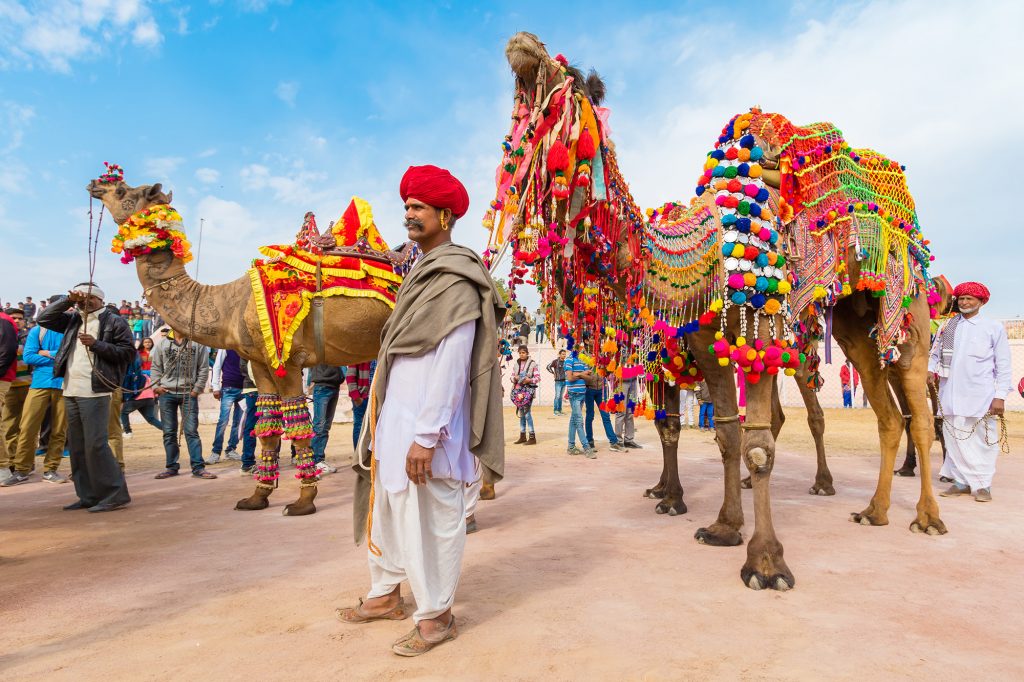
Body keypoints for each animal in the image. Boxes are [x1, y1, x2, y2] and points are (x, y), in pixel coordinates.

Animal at [87, 169, 407, 516]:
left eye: (123, 191)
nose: (96, 184)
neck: (229, 303)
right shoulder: (260, 361)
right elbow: (267, 427)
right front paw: (257, 496)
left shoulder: (289, 360)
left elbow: (298, 428)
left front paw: (303, 502)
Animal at [487, 31, 942, 585]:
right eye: (520, 104)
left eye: (568, 83)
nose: (522, 45)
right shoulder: (703, 347)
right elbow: (720, 434)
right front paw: (721, 525)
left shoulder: (759, 329)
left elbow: (756, 444)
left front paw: (765, 562)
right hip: (855, 326)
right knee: (887, 414)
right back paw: (873, 511)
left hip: (900, 309)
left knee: (909, 413)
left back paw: (918, 514)